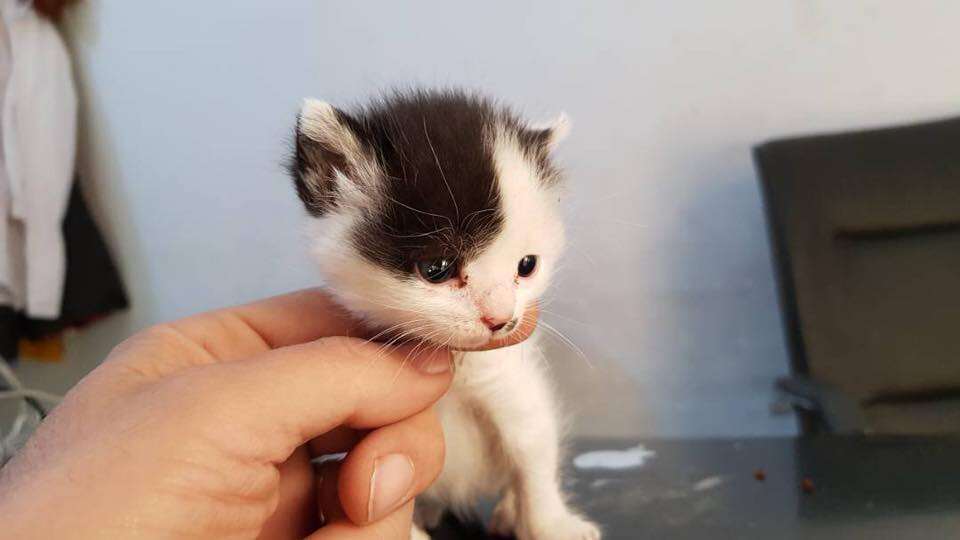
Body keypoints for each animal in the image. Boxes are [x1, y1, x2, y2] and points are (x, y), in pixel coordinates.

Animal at [286, 89, 600, 540]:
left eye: (527, 266)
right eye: (437, 268)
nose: (500, 319)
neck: (456, 367)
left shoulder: (510, 381)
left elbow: (532, 448)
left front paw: (553, 524)